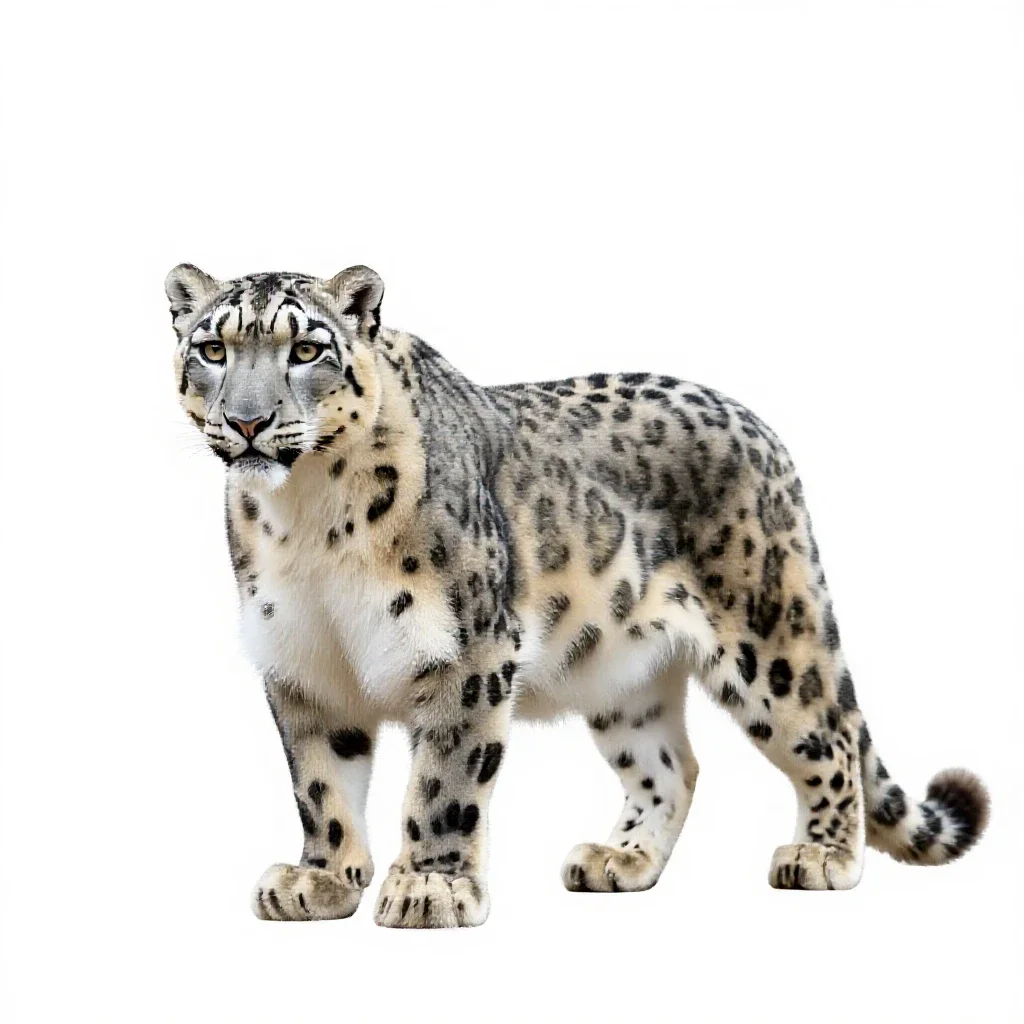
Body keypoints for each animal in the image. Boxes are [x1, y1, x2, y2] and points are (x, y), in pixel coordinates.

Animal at [166, 262, 990, 927]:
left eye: (306, 350)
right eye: (214, 350)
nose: (248, 421)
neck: (306, 520)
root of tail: (759, 428)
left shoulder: (470, 651)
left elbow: (444, 779)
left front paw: (431, 886)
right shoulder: (302, 660)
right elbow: (322, 783)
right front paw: (323, 880)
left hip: (770, 640)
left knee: (831, 735)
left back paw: (821, 856)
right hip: (622, 676)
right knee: (672, 765)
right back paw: (620, 860)